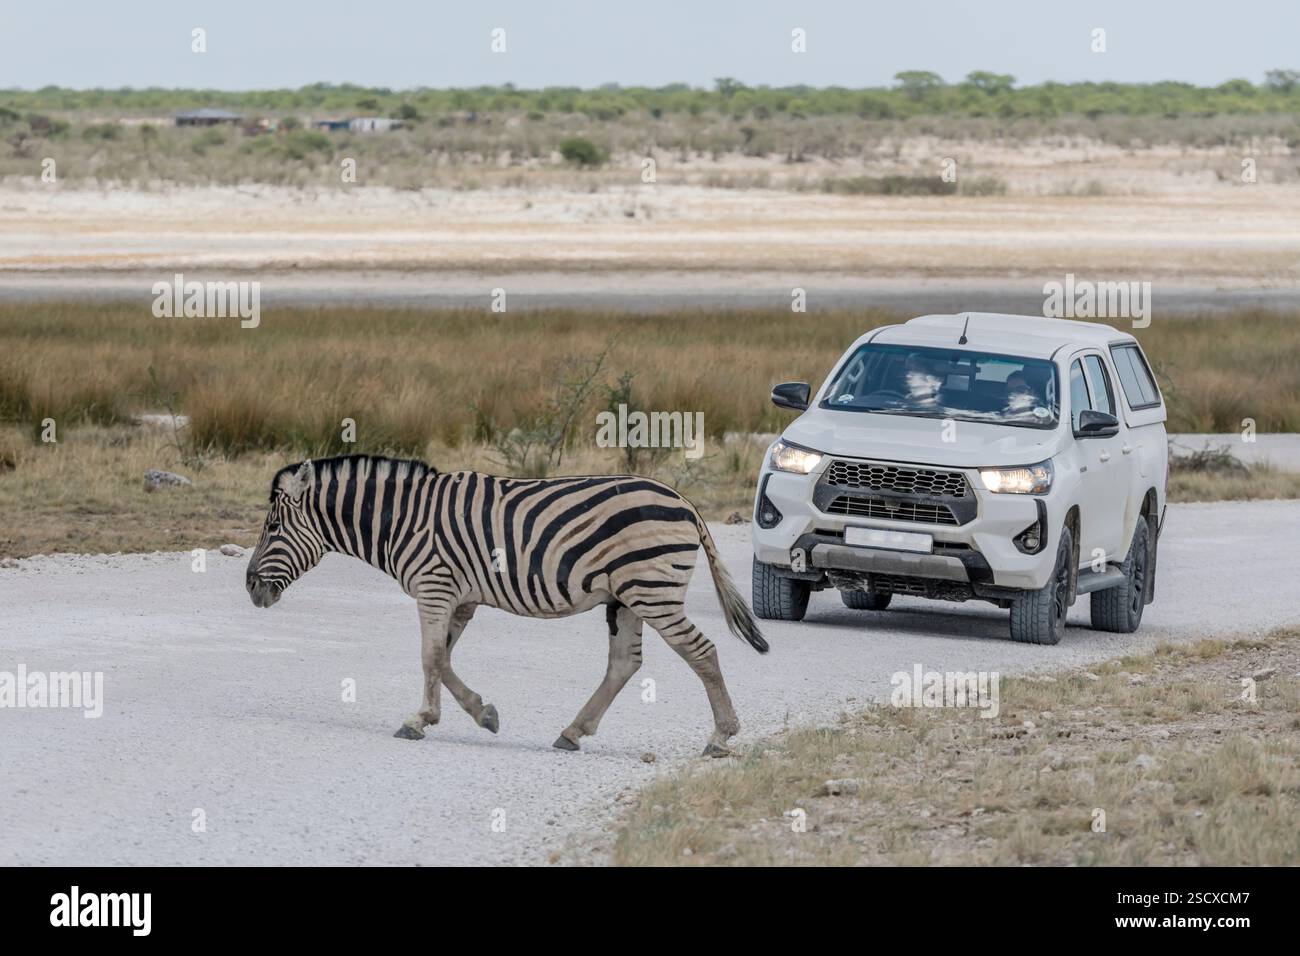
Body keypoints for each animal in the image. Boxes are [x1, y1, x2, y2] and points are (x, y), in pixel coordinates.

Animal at [244, 455, 768, 756]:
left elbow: (430, 657)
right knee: (625, 663)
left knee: (702, 652)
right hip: (626, 598)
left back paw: (720, 737)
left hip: (651, 590)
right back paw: (572, 732)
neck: (402, 519)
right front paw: (481, 713)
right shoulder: (460, 598)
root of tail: (683, 499)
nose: (250, 588)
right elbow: (443, 658)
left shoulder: (434, 586)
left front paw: (420, 722)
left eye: (272, 528)